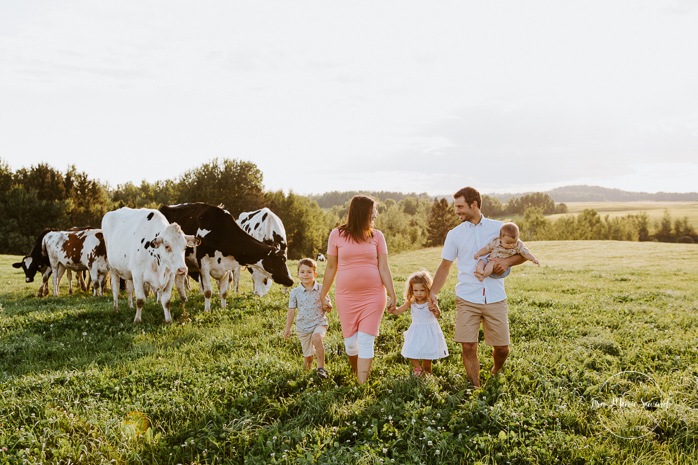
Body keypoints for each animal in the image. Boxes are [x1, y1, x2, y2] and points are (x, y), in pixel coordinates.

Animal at [158, 201, 294, 310]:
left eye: (285, 259)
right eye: (280, 260)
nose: (291, 280)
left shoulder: (227, 266)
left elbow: (223, 292)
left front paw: (223, 308)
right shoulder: (203, 265)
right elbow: (208, 291)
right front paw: (207, 310)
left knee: (179, 280)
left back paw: (184, 300)